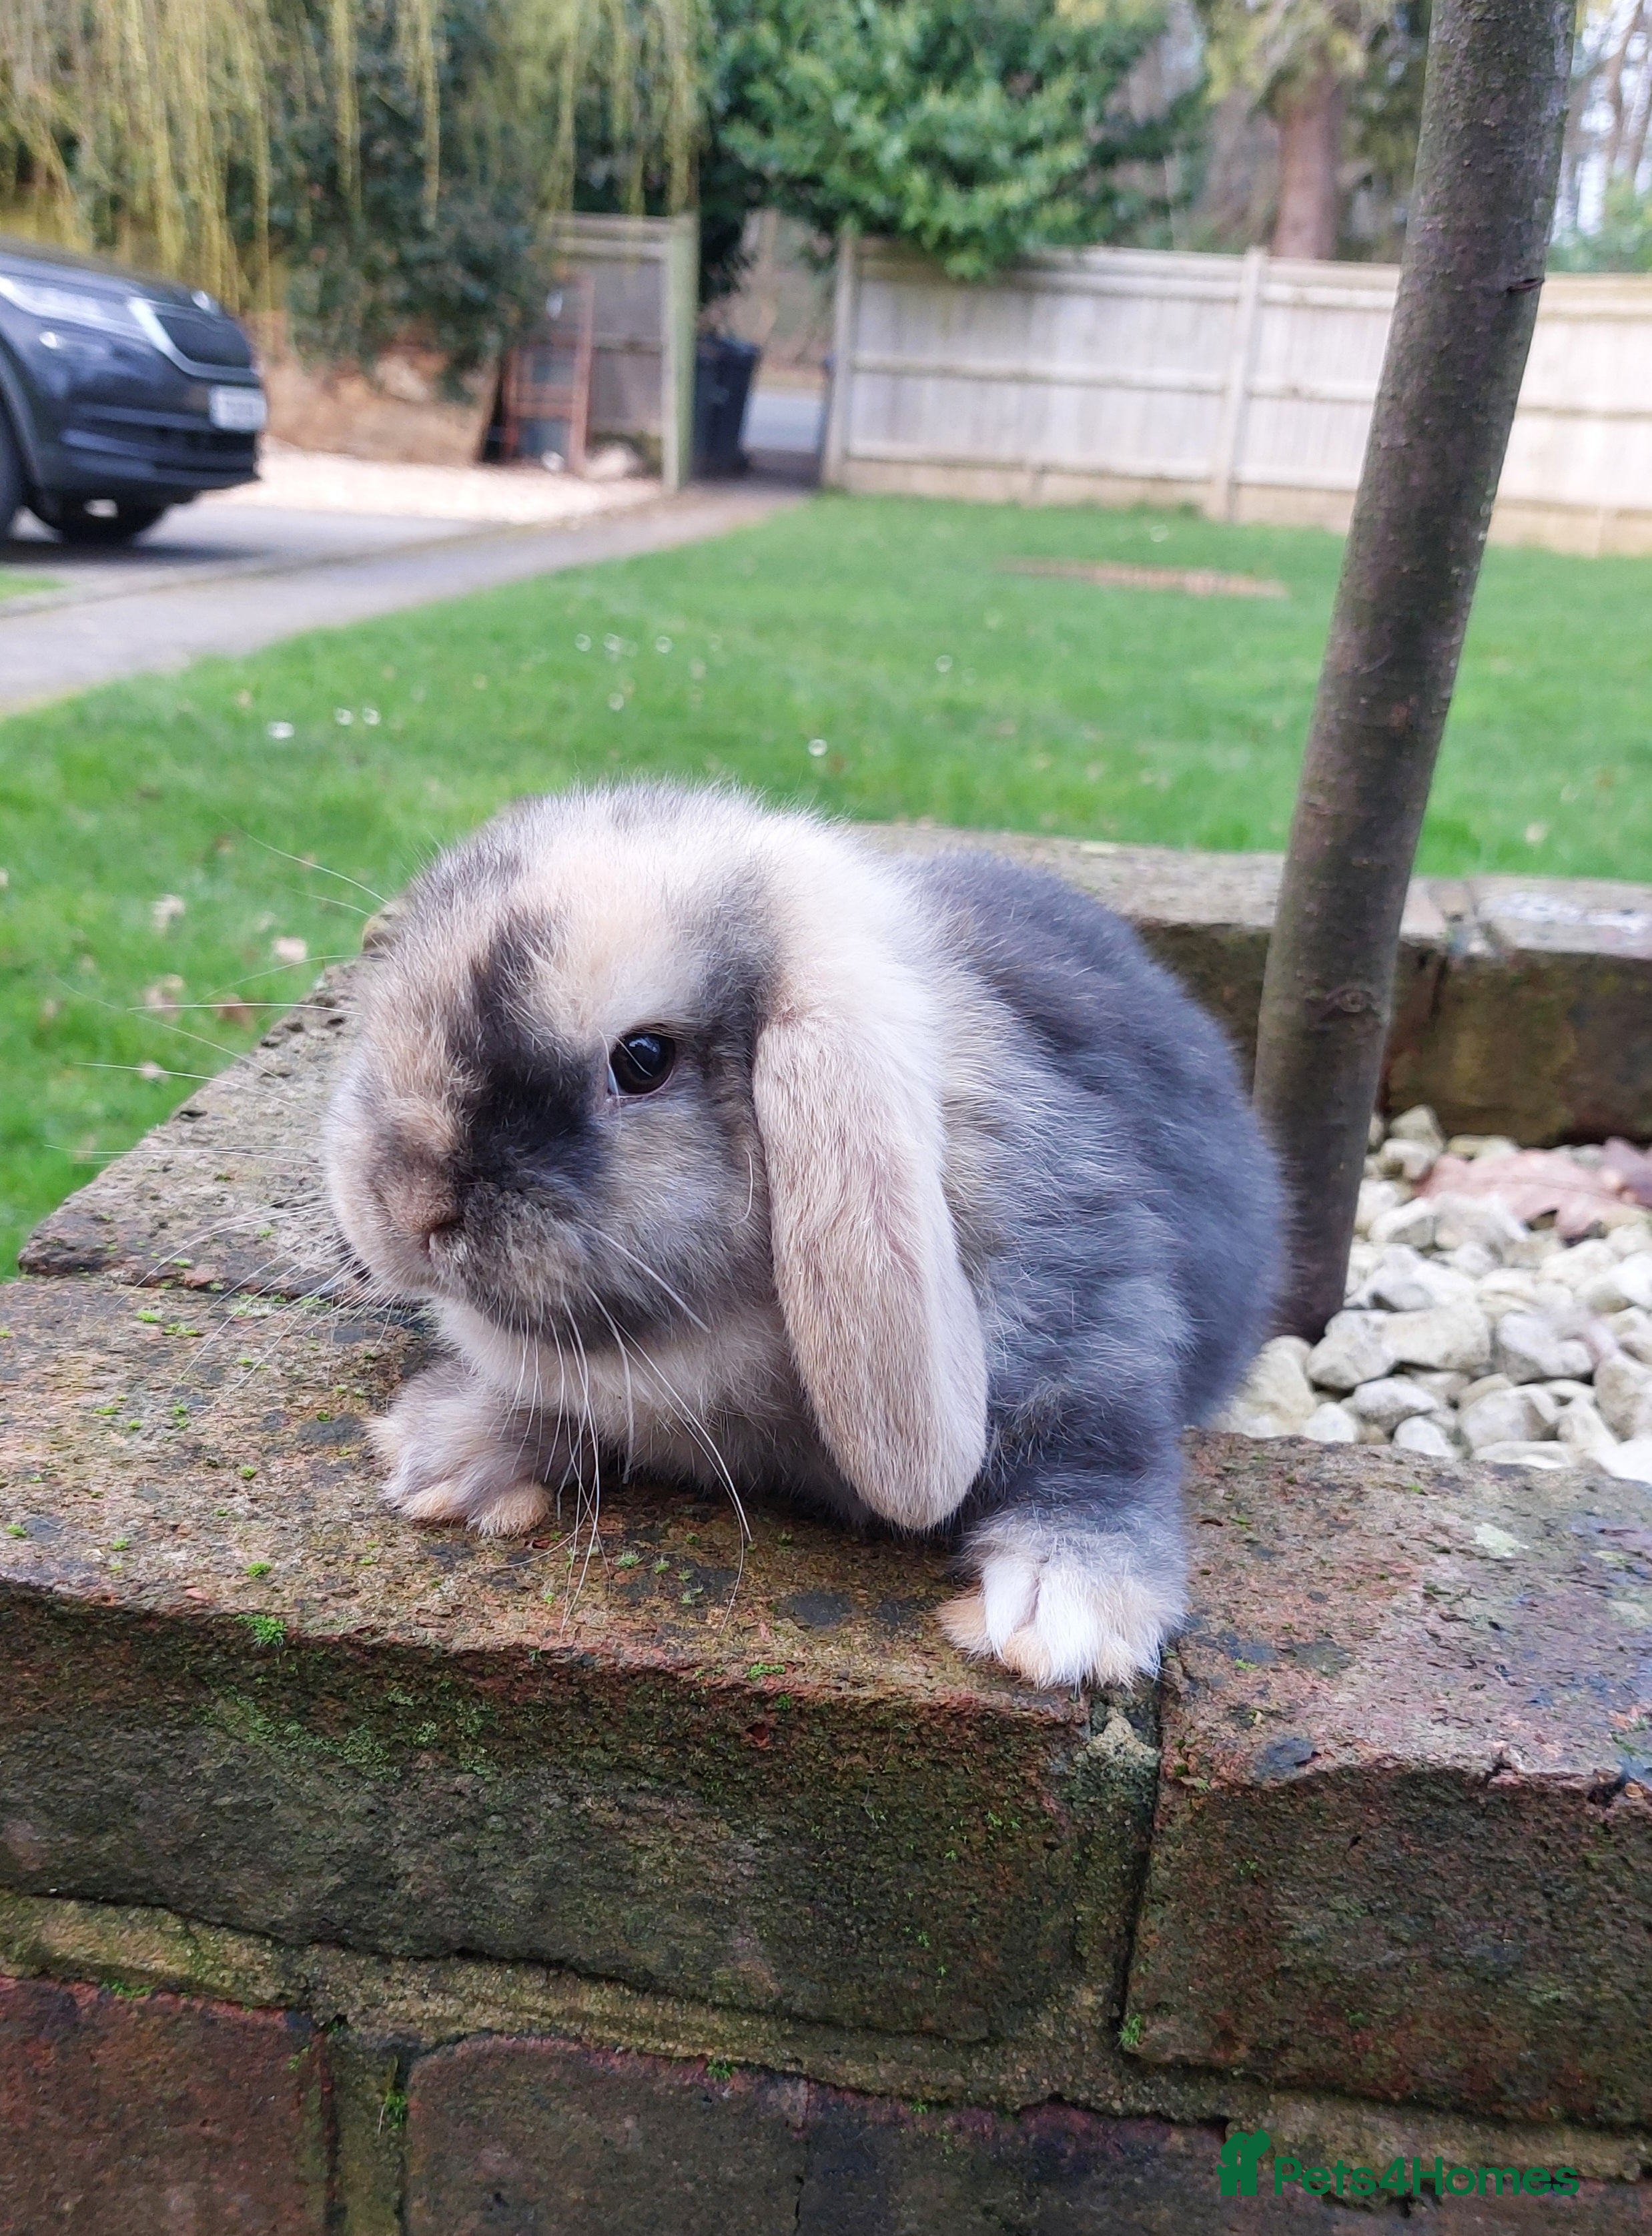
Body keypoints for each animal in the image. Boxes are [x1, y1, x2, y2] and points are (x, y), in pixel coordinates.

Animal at [325, 782, 1281, 1689]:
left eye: (643, 1059)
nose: (409, 1204)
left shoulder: (1098, 1323)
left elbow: (1101, 1455)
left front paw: (1059, 1616)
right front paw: (443, 1457)